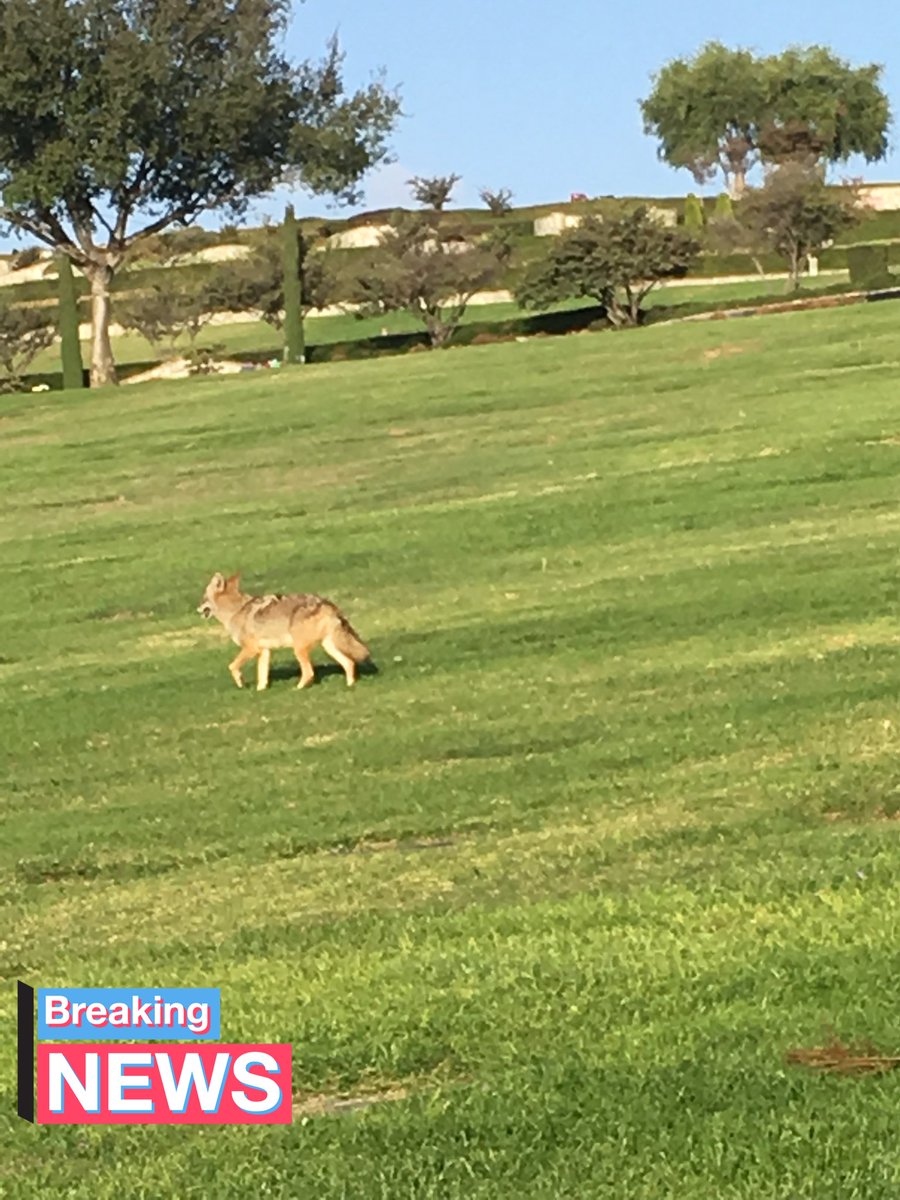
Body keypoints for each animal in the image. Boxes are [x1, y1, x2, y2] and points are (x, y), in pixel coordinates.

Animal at [197, 571, 372, 692]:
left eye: (203, 599)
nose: (197, 609)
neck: (236, 611)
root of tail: (326, 603)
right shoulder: (264, 651)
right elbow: (262, 677)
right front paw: (260, 692)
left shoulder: (251, 649)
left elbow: (232, 666)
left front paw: (240, 682)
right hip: (328, 647)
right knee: (349, 663)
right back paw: (350, 686)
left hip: (299, 649)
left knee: (309, 672)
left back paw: (297, 689)